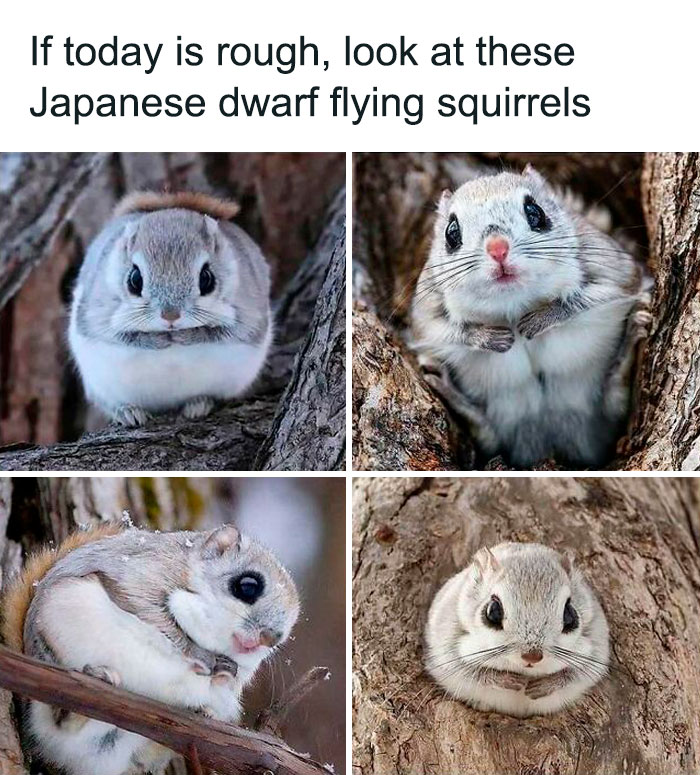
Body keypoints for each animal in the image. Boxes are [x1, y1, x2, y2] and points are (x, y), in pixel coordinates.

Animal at [1, 522, 299, 775]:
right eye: (248, 585)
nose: (271, 638)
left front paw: (223, 676)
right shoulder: (144, 577)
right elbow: (154, 616)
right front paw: (202, 656)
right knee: (59, 720)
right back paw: (95, 681)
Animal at [69, 191, 272, 426]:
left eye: (207, 279)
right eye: (134, 280)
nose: (170, 316)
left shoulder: (248, 315)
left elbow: (222, 332)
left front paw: (187, 336)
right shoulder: (98, 315)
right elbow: (121, 336)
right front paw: (157, 340)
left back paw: (199, 404)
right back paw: (127, 412)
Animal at [410, 165, 652, 468]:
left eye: (535, 211)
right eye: (451, 232)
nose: (498, 248)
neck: (515, 303)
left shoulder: (614, 269)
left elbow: (597, 295)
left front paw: (540, 319)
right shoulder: (426, 308)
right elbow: (437, 331)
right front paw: (491, 337)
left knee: (614, 399)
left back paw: (629, 345)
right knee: (486, 432)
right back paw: (449, 391)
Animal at [424, 542, 609, 717]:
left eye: (570, 615)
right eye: (493, 612)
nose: (532, 656)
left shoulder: (597, 645)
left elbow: (576, 674)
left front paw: (544, 686)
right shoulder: (445, 643)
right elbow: (470, 671)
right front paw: (509, 680)